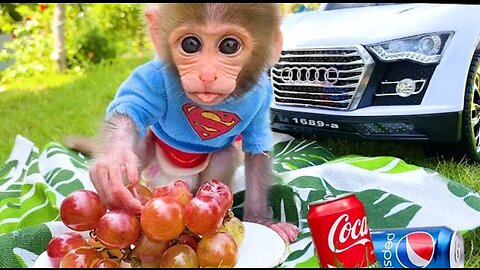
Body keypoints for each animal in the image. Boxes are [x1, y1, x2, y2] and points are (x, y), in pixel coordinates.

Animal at [88, 3, 300, 242]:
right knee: (141, 142)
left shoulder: (262, 97)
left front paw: (261, 221)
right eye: (190, 44)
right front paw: (112, 162)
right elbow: (132, 107)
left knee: (225, 154)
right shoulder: (155, 76)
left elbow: (257, 149)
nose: (207, 75)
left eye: (229, 45)